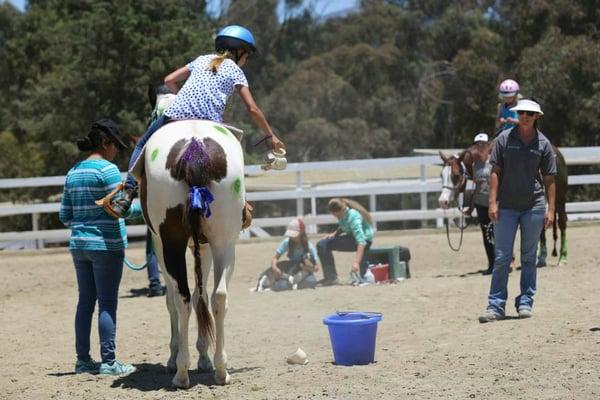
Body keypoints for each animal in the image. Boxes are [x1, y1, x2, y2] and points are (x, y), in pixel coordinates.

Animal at [130, 119, 247, 388]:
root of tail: (194, 147)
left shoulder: (160, 245)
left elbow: (173, 300)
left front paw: (174, 358)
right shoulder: (203, 246)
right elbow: (200, 296)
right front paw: (204, 357)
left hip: (171, 244)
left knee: (180, 299)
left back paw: (181, 371)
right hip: (224, 242)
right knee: (218, 297)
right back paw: (221, 369)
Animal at [436, 145, 568, 268]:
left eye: (456, 175)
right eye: (441, 175)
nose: (443, 201)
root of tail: (557, 152)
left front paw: (510, 261)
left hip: (560, 199)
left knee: (562, 223)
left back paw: (562, 258)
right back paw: (541, 258)